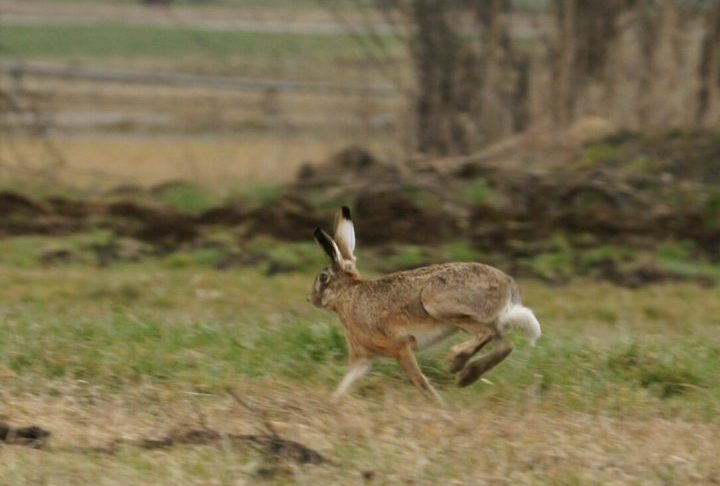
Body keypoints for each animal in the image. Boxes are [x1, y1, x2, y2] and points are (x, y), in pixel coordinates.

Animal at [309, 206, 541, 403]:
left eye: (323, 278)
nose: (310, 299)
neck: (347, 295)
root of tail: (507, 284)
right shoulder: (362, 357)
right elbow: (346, 383)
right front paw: (331, 404)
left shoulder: (399, 346)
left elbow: (419, 380)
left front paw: (439, 406)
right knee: (504, 346)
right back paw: (465, 376)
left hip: (436, 302)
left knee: (485, 334)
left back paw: (455, 361)